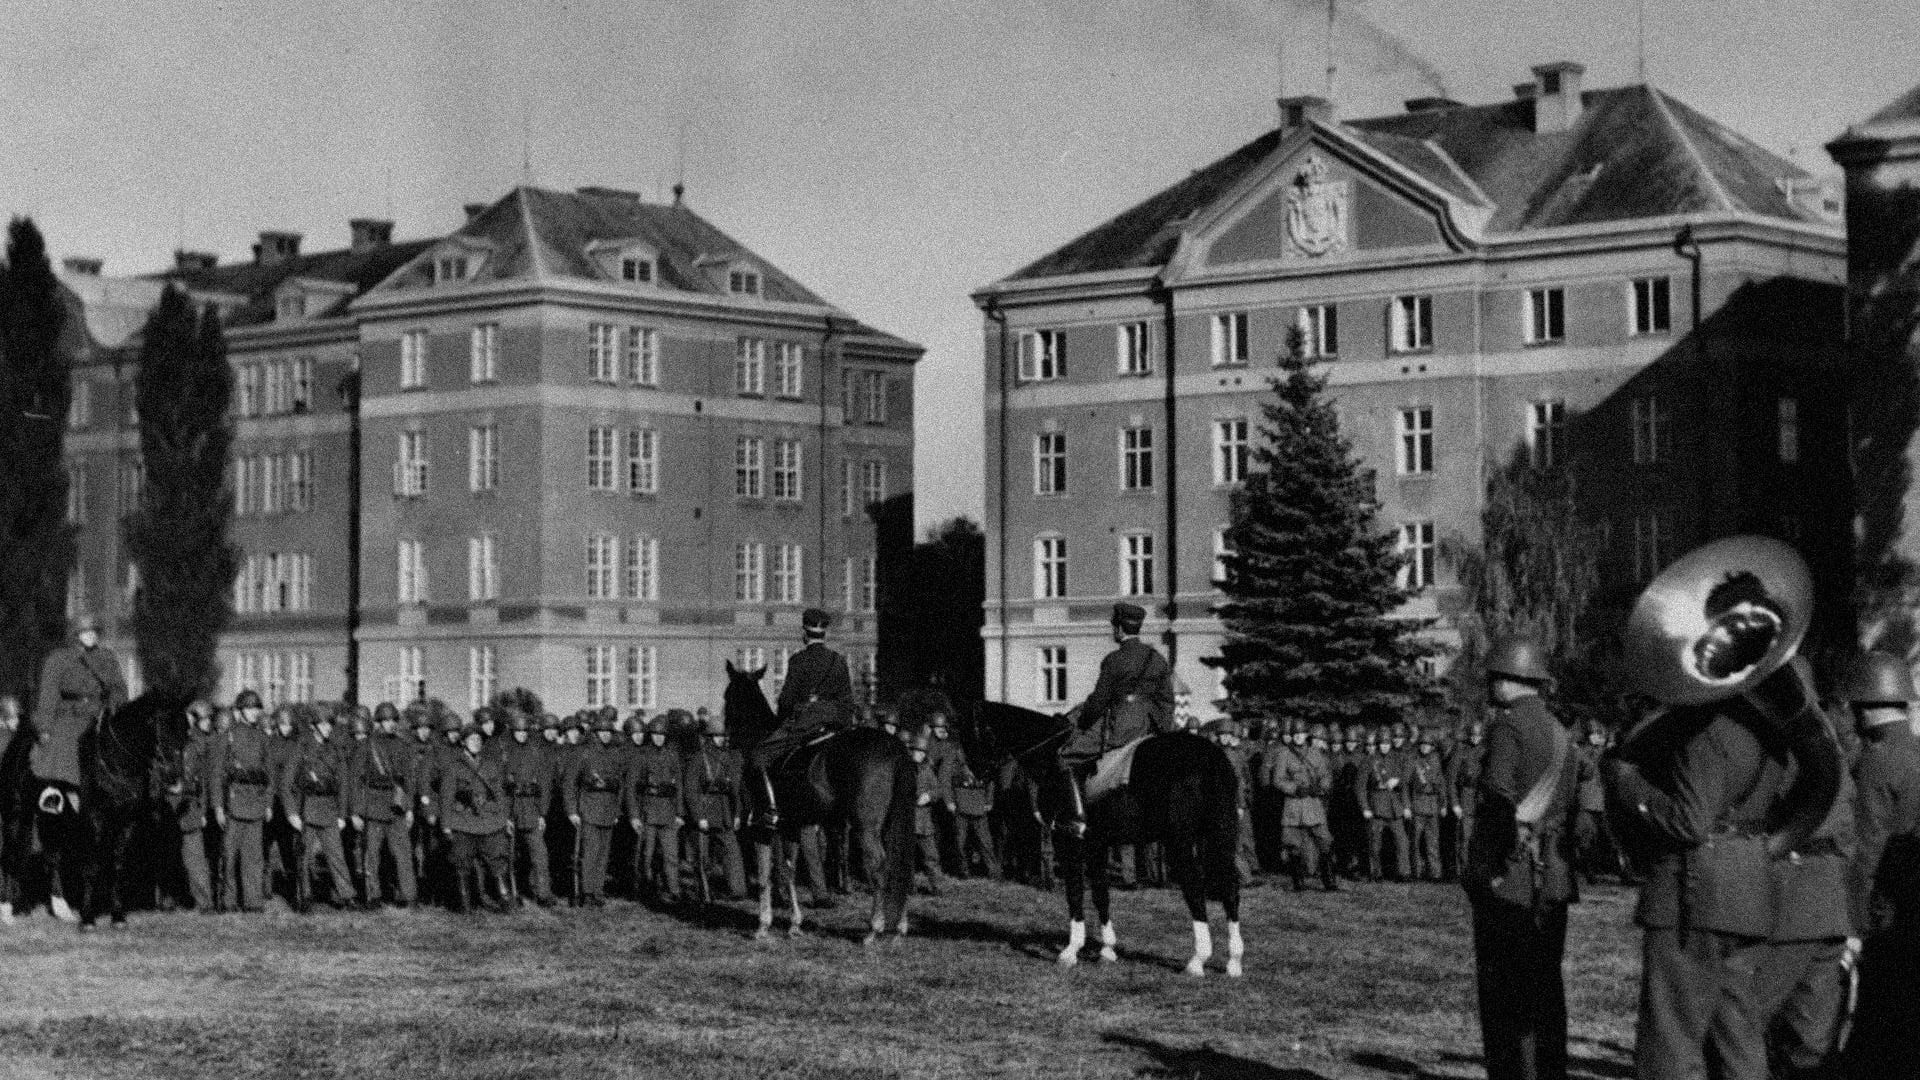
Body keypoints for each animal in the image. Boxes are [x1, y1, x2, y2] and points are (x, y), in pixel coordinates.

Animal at [0, 687, 189, 926]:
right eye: (160, 726)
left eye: (185, 729)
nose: (175, 780)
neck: (115, 763)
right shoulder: (94, 821)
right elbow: (92, 866)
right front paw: (88, 919)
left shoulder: (127, 821)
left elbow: (118, 866)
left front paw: (117, 916)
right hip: (16, 813)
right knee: (11, 856)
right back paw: (7, 911)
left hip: (52, 819)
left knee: (51, 859)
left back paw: (59, 909)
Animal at [725, 661, 921, 937]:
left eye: (728, 696)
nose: (726, 739)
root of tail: (894, 747)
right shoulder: (791, 827)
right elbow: (789, 870)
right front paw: (795, 923)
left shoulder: (761, 828)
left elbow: (766, 874)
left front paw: (763, 925)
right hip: (891, 823)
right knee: (901, 864)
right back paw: (900, 927)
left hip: (866, 827)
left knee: (881, 867)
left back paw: (874, 929)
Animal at [975, 703, 1244, 972]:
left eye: (977, 731)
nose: (976, 777)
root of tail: (1210, 756)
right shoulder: (1097, 844)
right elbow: (1101, 894)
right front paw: (1107, 950)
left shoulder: (1069, 843)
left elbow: (1075, 892)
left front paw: (1071, 950)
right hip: (1221, 835)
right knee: (1229, 887)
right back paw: (1234, 961)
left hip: (1180, 842)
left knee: (1195, 888)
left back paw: (1198, 960)